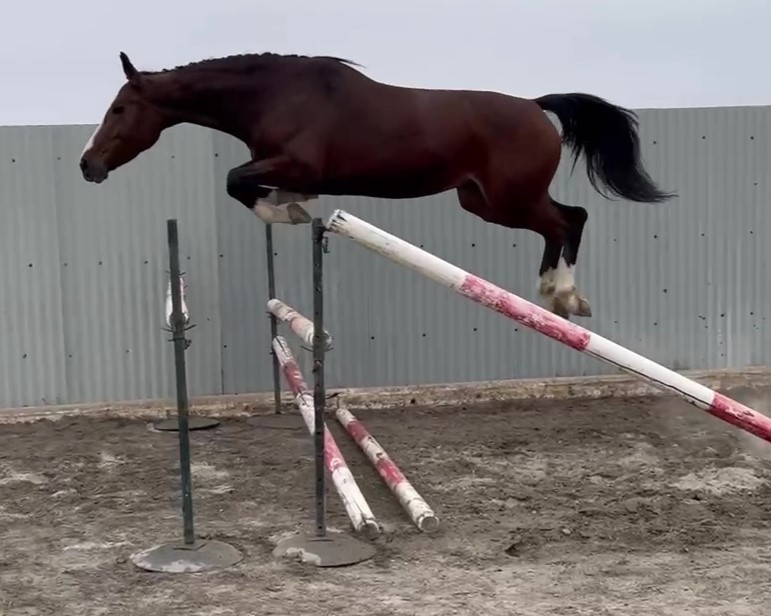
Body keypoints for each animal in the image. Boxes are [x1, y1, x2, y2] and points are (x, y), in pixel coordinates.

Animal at [79, 51, 675, 319]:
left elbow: (237, 183)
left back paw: (565, 295)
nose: (88, 165)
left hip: (510, 198)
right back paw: (552, 295)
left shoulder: (294, 163)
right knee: (562, 222)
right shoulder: (278, 165)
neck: (276, 95)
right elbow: (250, 185)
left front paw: (290, 212)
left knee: (570, 220)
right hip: (485, 202)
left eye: (120, 108)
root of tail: (535, 106)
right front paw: (292, 207)